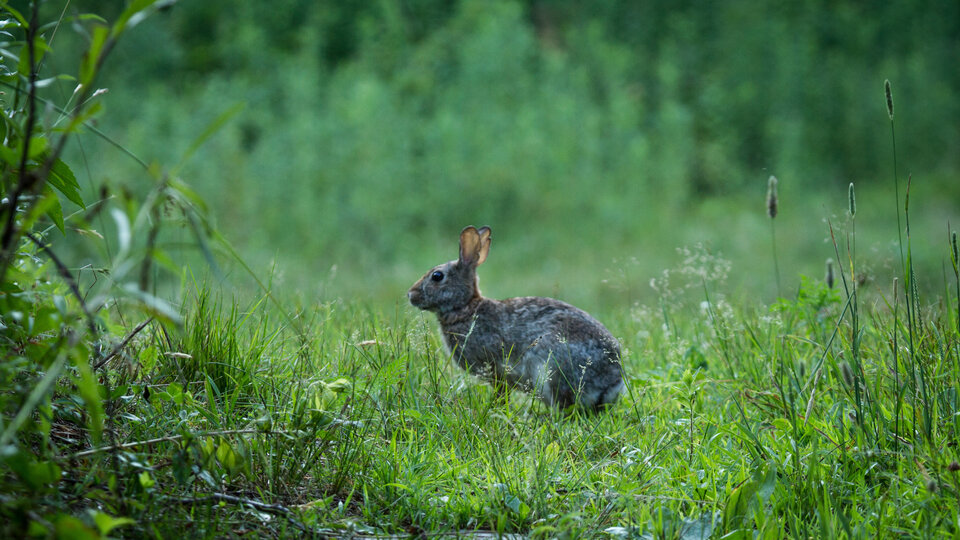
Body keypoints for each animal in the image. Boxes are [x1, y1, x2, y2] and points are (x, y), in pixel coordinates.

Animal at [408, 225, 625, 411]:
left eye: (437, 276)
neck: (465, 307)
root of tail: (611, 383)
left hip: (552, 370)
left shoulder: (497, 369)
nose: (411, 295)